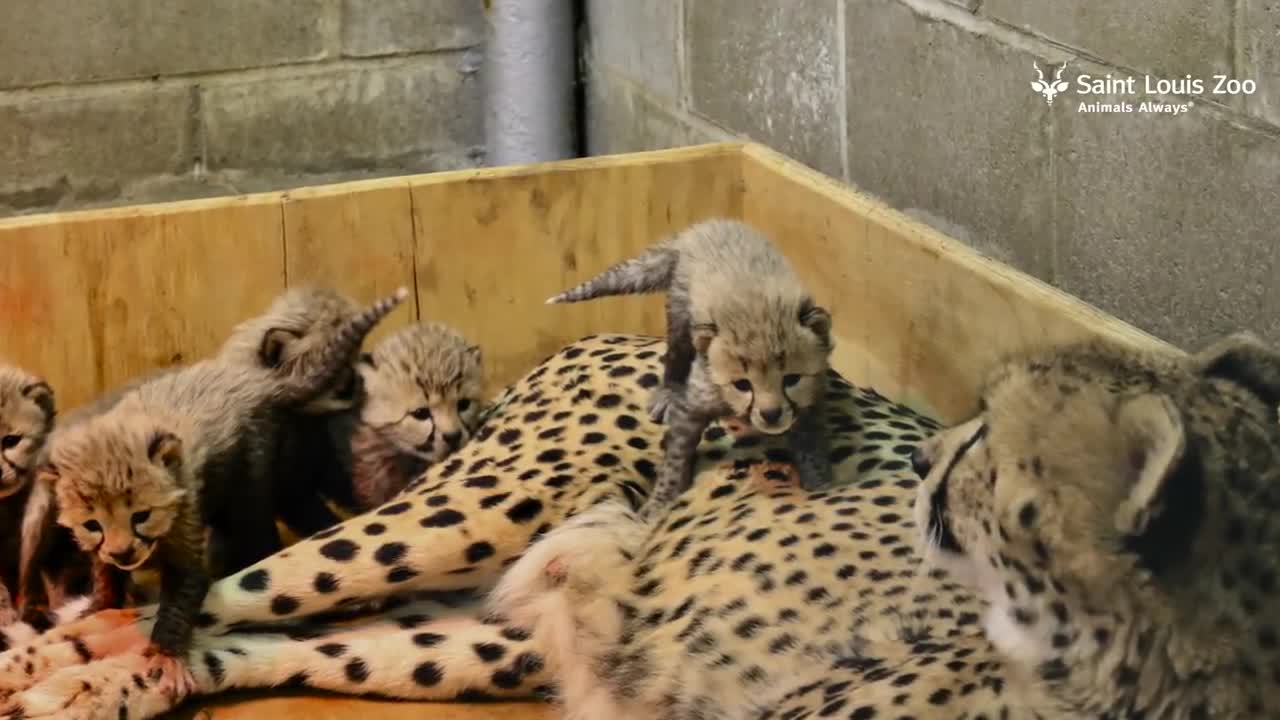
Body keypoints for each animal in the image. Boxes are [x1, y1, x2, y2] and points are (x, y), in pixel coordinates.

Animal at [2, 330, 1269, 717]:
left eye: (993, 444)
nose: (922, 464)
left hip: (493, 631)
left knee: (283, 642)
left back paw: (89, 675)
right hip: (472, 510)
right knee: (238, 588)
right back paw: (61, 656)